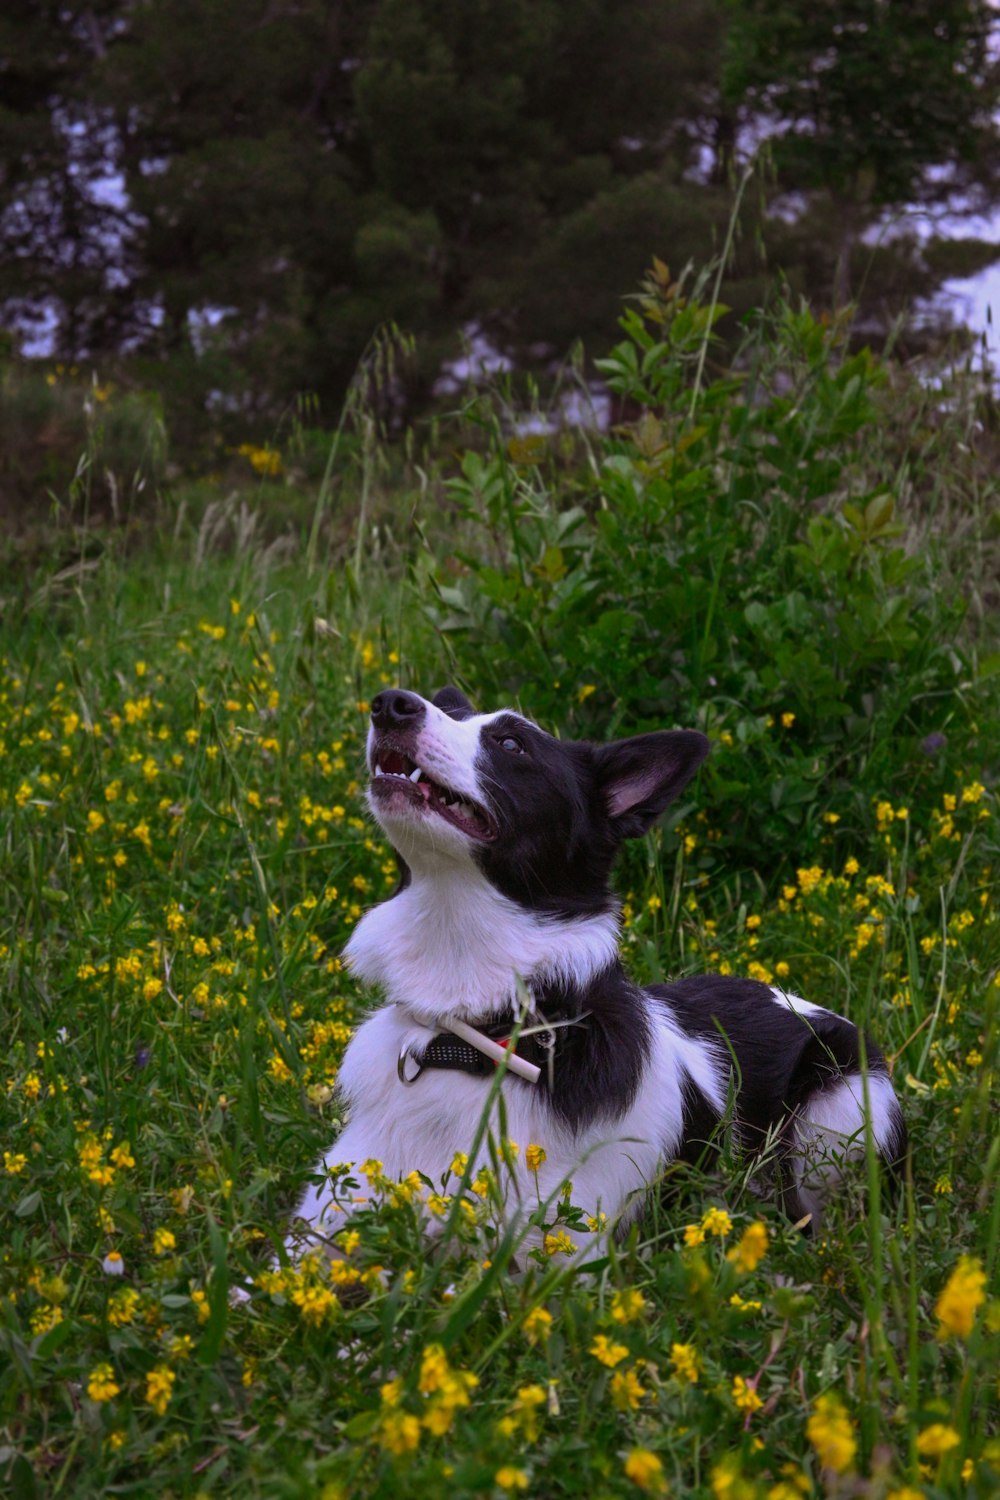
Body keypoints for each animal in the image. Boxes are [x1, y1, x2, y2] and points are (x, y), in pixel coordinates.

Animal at [287, 687, 905, 1254]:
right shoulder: (322, 1223)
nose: (391, 703)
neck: (467, 1034)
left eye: (512, 744)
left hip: (843, 1110)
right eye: (453, 712)